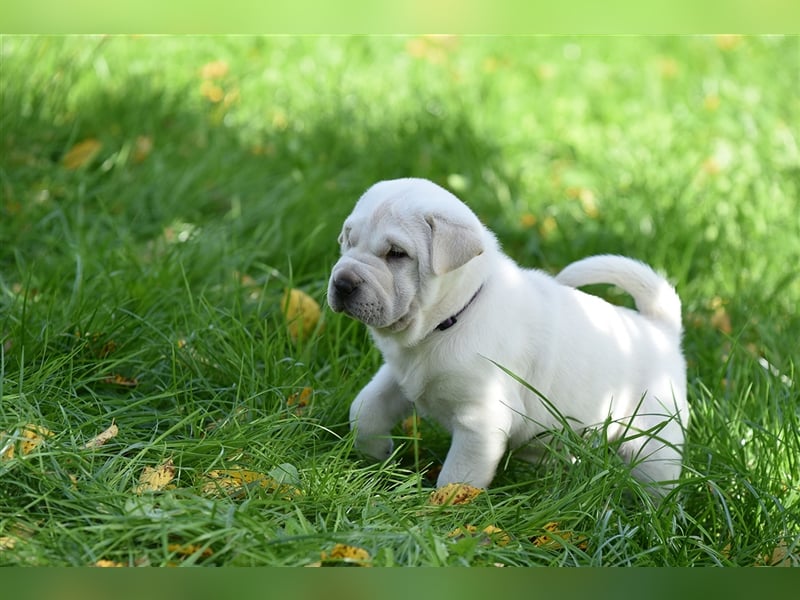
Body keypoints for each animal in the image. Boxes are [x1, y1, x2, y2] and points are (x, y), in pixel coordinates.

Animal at [326, 179, 688, 496]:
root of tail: (661, 329)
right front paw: (374, 454)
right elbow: (365, 408)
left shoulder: (481, 419)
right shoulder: (399, 377)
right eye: (348, 240)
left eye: (397, 254)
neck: (449, 320)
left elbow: (457, 477)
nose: (342, 283)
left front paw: (442, 511)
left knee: (658, 477)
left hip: (654, 440)